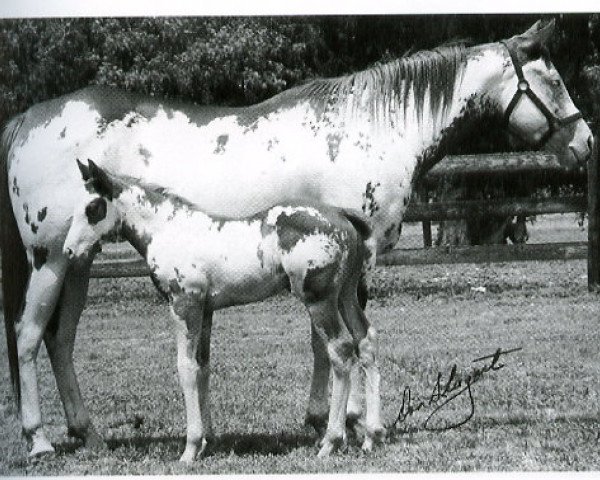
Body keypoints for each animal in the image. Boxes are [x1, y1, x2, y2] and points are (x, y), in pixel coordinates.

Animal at [63, 160, 384, 462]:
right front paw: (207, 442)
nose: (68, 252)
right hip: (346, 296)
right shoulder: (206, 311)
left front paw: (190, 448)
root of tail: (342, 216)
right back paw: (372, 435)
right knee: (365, 341)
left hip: (320, 300)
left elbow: (186, 368)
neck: (169, 230)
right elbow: (203, 367)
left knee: (340, 350)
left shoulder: (184, 305)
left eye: (93, 207)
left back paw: (332, 441)